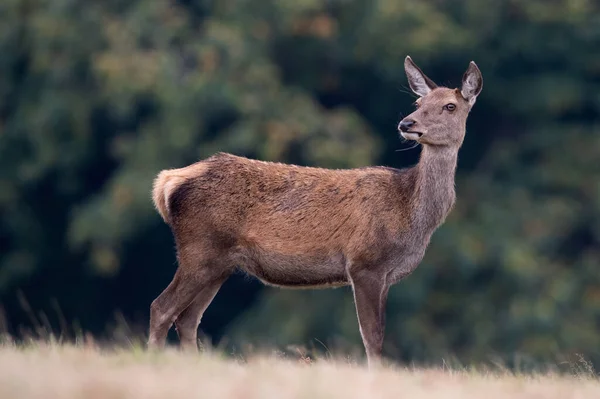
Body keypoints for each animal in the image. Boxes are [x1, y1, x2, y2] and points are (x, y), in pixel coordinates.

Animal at [149, 57, 482, 368]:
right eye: (418, 103)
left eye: (450, 106)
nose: (407, 124)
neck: (411, 215)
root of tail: (167, 183)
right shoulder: (364, 263)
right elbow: (372, 337)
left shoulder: (386, 276)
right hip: (200, 249)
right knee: (161, 308)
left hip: (220, 263)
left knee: (188, 318)